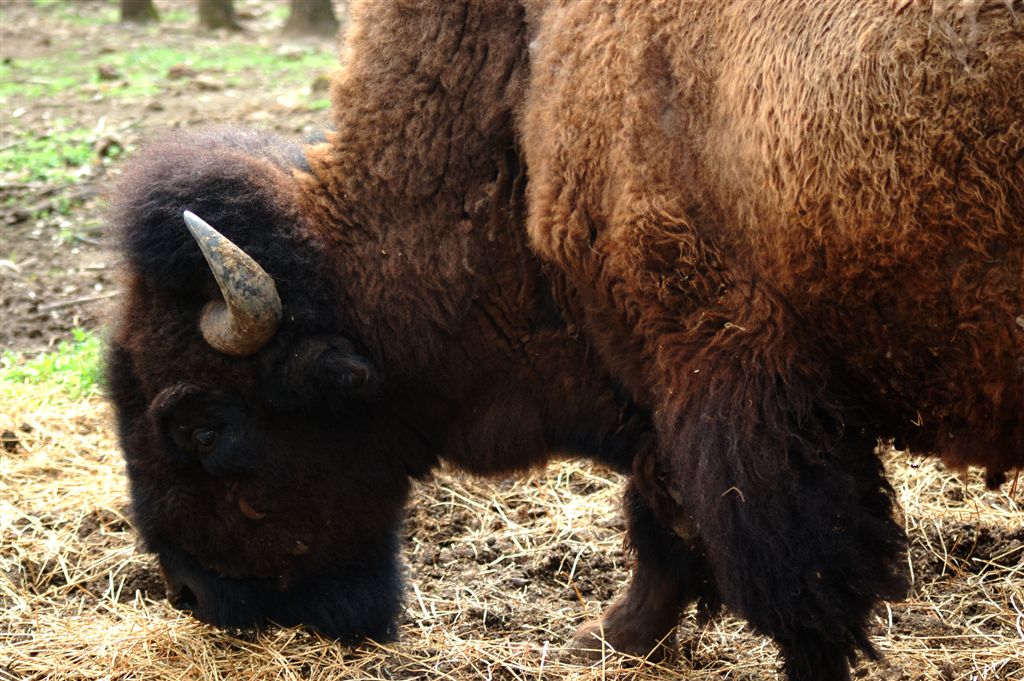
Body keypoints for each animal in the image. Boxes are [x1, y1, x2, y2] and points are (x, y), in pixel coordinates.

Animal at [106, 1, 1022, 680]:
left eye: (203, 426)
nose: (187, 591)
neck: (524, 96)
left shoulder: (727, 379)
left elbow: (791, 580)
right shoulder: (655, 382)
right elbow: (662, 518)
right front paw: (612, 637)